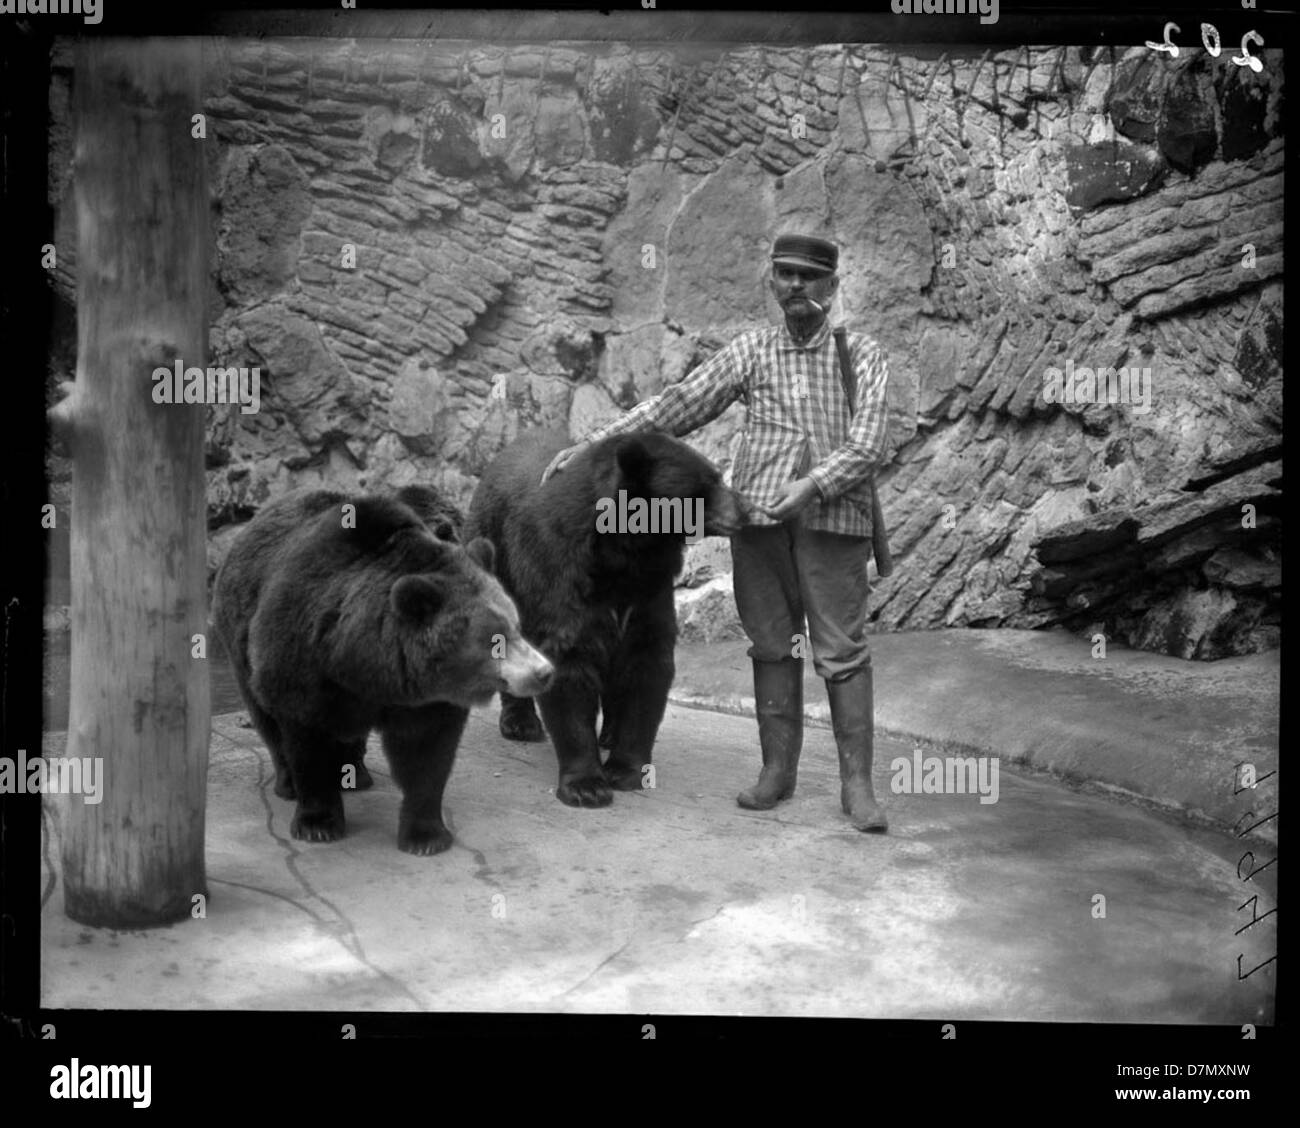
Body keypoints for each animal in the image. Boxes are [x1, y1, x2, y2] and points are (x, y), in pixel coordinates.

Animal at [212, 485, 554, 855]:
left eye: (516, 626)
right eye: (495, 639)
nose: (544, 672)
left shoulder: (424, 695)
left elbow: (426, 753)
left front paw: (426, 835)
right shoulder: (302, 660)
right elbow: (307, 740)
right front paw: (318, 823)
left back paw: (356, 774)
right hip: (240, 640)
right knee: (267, 719)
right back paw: (288, 783)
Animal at [465, 428, 748, 808]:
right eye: (709, 482)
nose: (746, 508)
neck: (625, 553)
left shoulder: (650, 591)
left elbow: (646, 665)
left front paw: (625, 770)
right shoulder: (560, 575)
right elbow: (569, 663)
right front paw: (586, 785)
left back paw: (609, 733)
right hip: (494, 553)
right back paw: (520, 723)